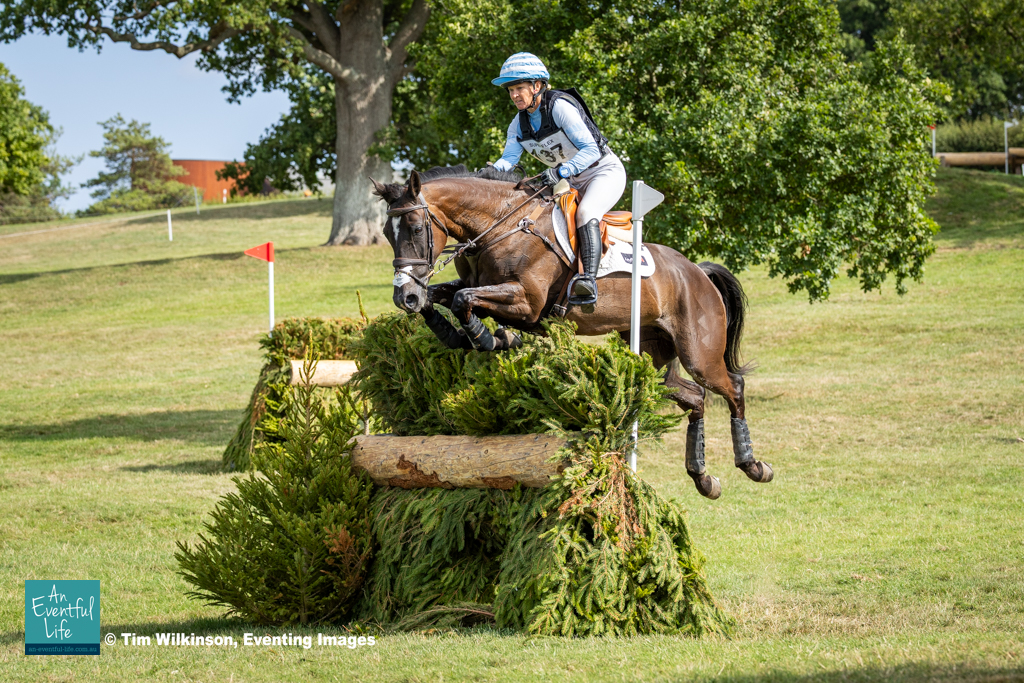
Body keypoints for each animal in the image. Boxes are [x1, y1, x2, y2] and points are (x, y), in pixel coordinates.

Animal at [370, 165, 773, 499]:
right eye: (388, 234)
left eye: (416, 228)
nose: (402, 295)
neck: (500, 226)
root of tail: (697, 271)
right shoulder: (481, 290)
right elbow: (444, 298)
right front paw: (465, 333)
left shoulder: (528, 303)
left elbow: (462, 300)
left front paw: (489, 338)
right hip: (652, 356)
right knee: (695, 398)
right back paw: (703, 478)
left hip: (698, 353)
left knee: (732, 388)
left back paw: (753, 466)